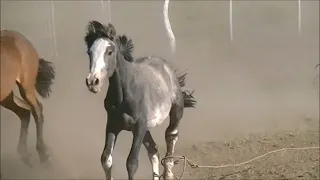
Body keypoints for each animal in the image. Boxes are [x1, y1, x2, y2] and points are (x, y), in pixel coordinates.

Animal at [0, 29, 55, 167]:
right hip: (6, 95)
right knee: (24, 111)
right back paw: (25, 155)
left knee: (37, 111)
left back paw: (43, 156)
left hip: (26, 86)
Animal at [84, 21, 196, 180]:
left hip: (175, 111)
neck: (124, 97)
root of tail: (166, 67)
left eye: (109, 51)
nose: (93, 82)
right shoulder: (113, 125)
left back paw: (168, 173)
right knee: (153, 150)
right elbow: (106, 159)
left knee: (171, 135)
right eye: (89, 52)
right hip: (145, 129)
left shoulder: (139, 126)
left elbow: (132, 163)